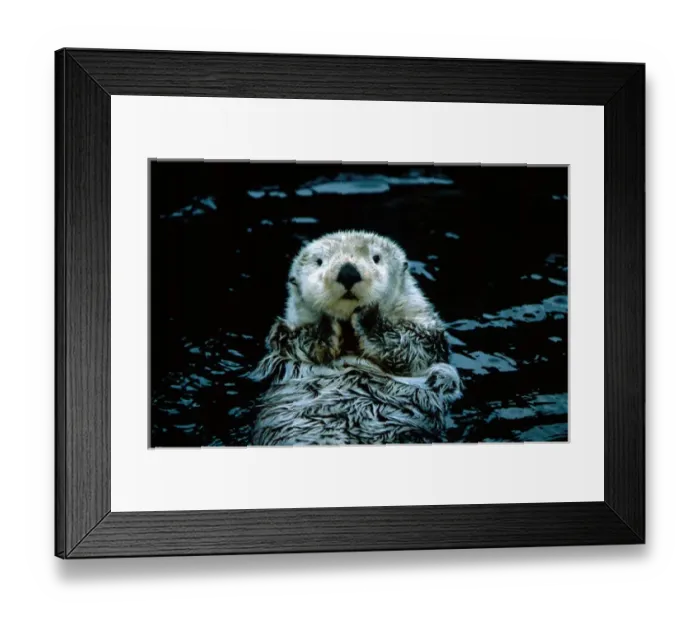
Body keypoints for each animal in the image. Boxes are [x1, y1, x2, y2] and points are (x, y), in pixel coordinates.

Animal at [249, 230, 462, 446]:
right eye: (319, 261)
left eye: (376, 258)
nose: (348, 272)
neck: (350, 340)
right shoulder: (286, 336)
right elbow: (289, 339)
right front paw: (326, 325)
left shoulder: (427, 336)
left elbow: (414, 345)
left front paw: (368, 316)